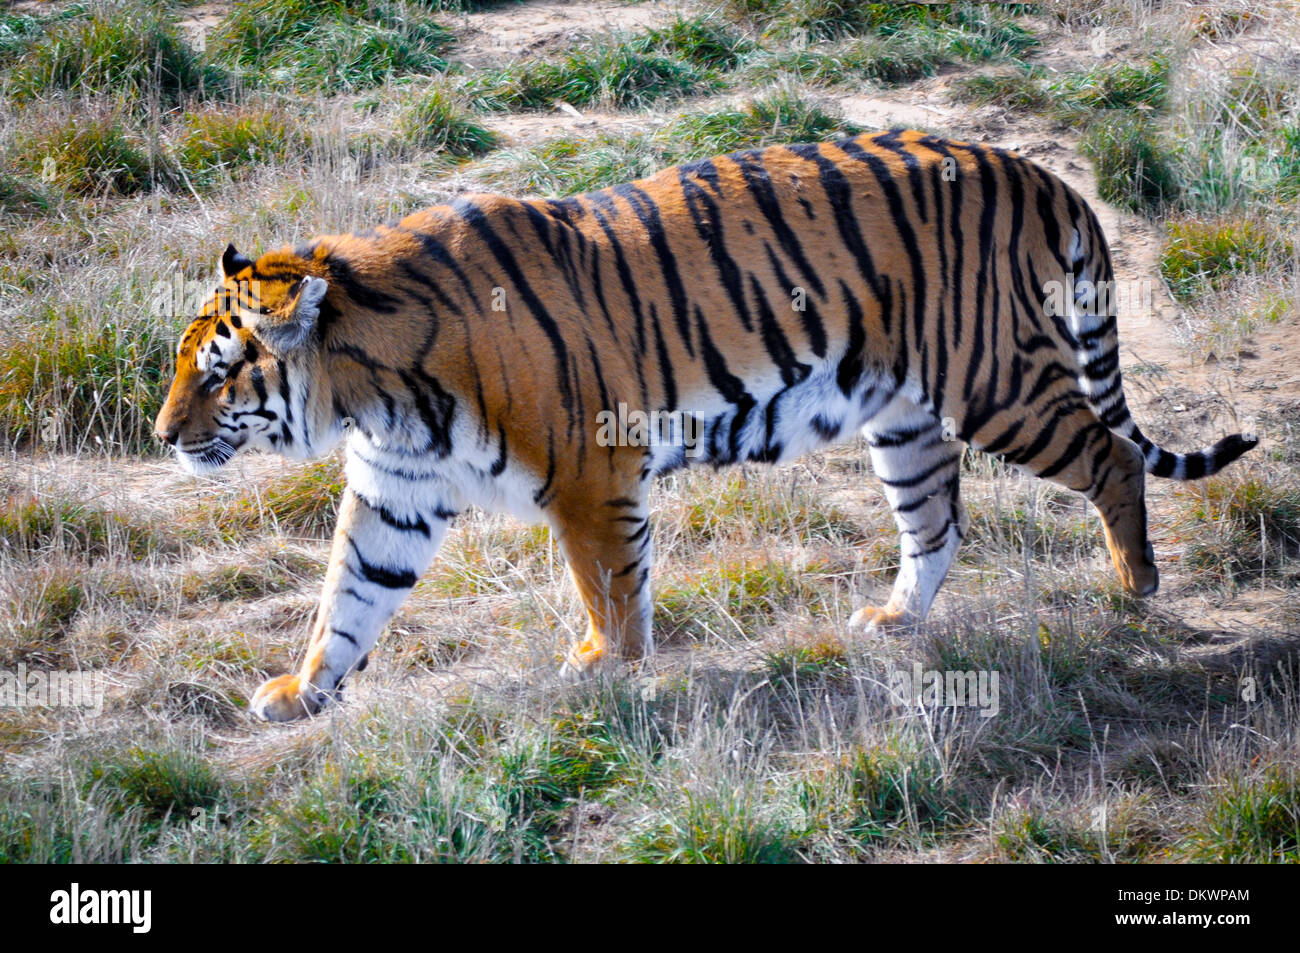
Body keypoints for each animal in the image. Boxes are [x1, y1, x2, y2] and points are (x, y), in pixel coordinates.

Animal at [154, 128, 1258, 722]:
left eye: (216, 371)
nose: (162, 435)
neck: (372, 392)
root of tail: (1038, 171)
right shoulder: (397, 494)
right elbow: (346, 599)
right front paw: (303, 692)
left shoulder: (589, 473)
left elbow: (608, 586)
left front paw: (603, 670)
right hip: (905, 417)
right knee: (938, 521)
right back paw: (896, 619)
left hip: (998, 383)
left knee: (1112, 456)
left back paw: (1133, 588)